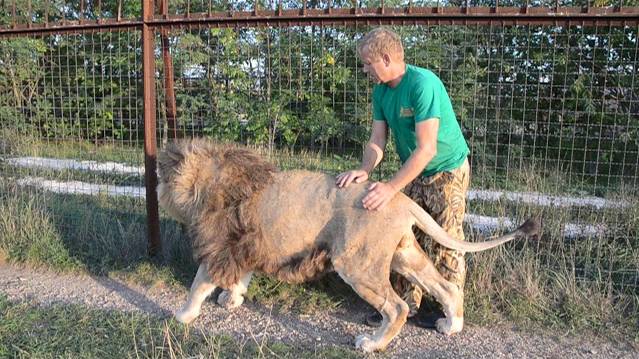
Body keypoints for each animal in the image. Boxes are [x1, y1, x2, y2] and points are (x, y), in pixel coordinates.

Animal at [156, 139, 540, 354]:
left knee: (397, 307)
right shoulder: (245, 244)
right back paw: (451, 326)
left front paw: (182, 315)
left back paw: (371, 344)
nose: (157, 190)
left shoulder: (218, 244)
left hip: (357, 262)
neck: (208, 179)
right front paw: (232, 299)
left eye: (160, 177)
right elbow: (241, 277)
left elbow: (198, 283)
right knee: (445, 286)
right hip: (402, 254)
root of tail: (400, 199)